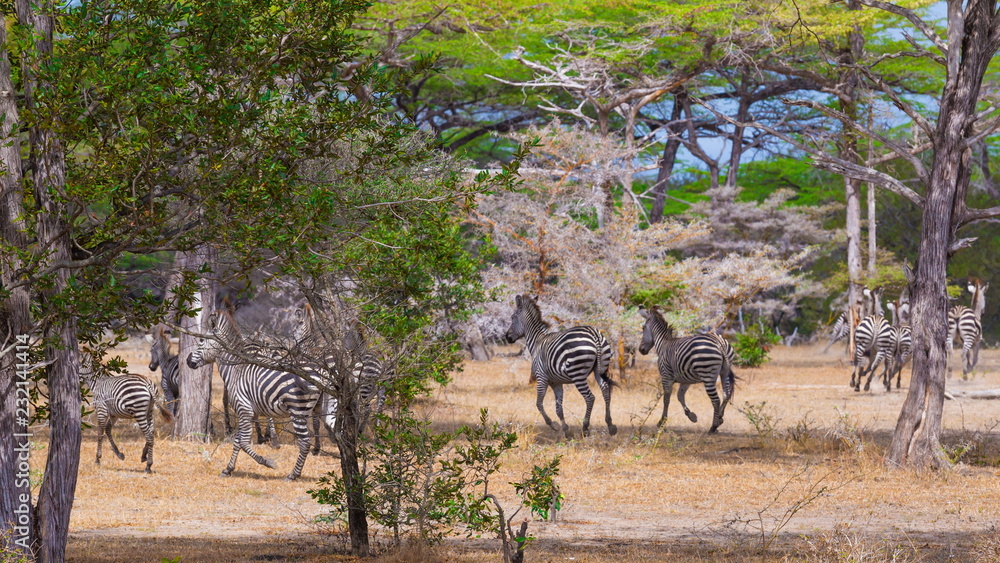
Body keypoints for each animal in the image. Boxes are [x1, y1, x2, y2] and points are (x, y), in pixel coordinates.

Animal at [186, 308, 320, 480]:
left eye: (201, 341)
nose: (188, 361)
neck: (235, 369)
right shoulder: (246, 412)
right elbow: (238, 441)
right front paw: (228, 469)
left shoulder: (244, 409)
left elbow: (243, 442)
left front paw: (268, 462)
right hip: (310, 408)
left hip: (297, 410)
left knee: (304, 442)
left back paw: (293, 474)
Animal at [504, 294, 617, 438]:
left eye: (512, 317)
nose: (507, 337)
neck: (537, 342)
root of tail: (594, 334)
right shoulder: (556, 382)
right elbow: (559, 408)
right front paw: (566, 430)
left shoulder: (541, 377)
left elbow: (539, 403)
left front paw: (554, 425)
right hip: (600, 369)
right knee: (606, 391)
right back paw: (610, 425)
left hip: (577, 374)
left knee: (590, 397)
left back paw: (585, 427)